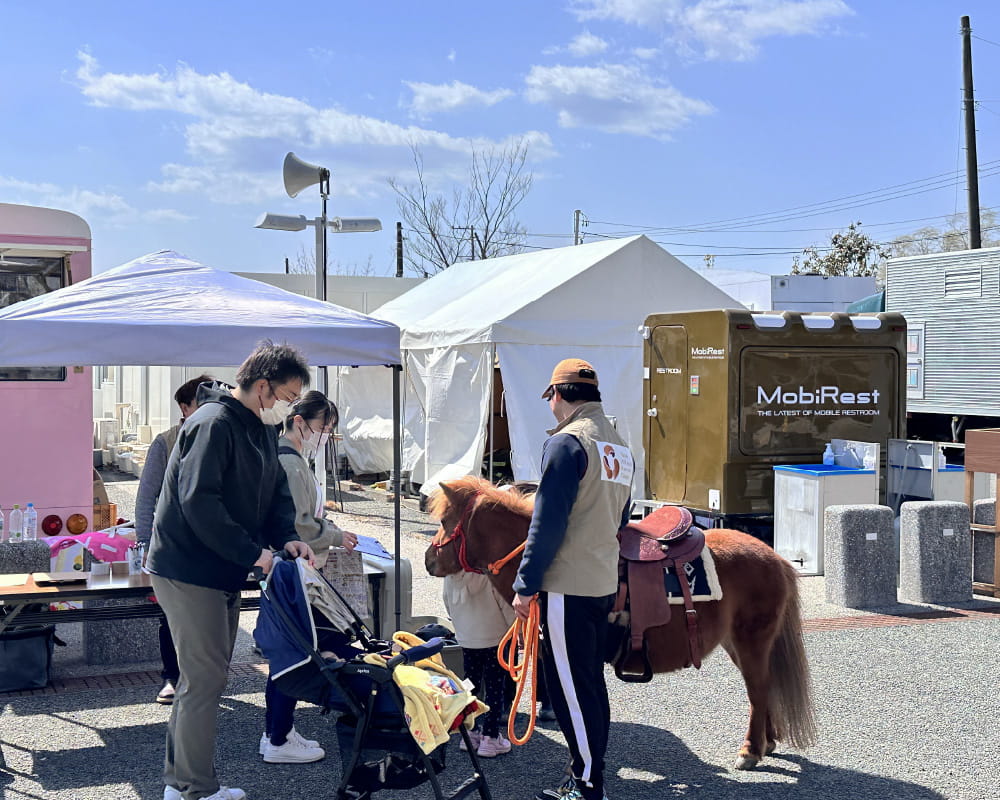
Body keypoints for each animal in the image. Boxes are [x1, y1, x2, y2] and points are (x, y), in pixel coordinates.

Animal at [426, 476, 816, 768]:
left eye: (444, 522)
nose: (430, 559)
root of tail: (776, 557)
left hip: (752, 641)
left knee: (758, 690)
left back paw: (751, 749)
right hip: (735, 642)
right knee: (764, 688)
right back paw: (767, 743)